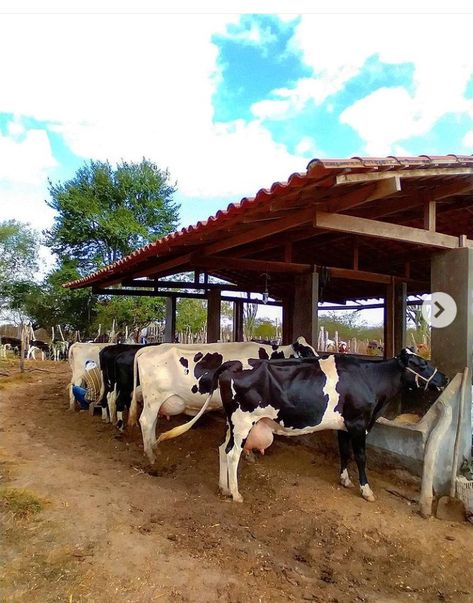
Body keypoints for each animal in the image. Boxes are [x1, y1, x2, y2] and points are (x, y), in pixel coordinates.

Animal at [127, 340, 316, 462]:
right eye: (307, 353)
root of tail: (151, 348)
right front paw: (248, 454)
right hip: (154, 398)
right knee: (146, 421)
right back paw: (150, 455)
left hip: (154, 400)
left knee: (152, 422)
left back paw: (155, 448)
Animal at [158, 346, 446, 502]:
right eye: (421, 363)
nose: (443, 378)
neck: (368, 379)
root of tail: (233, 364)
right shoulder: (358, 424)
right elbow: (361, 457)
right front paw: (366, 490)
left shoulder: (343, 426)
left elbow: (344, 453)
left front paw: (344, 480)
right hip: (242, 422)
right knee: (232, 454)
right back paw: (236, 494)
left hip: (232, 422)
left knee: (221, 449)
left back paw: (223, 487)